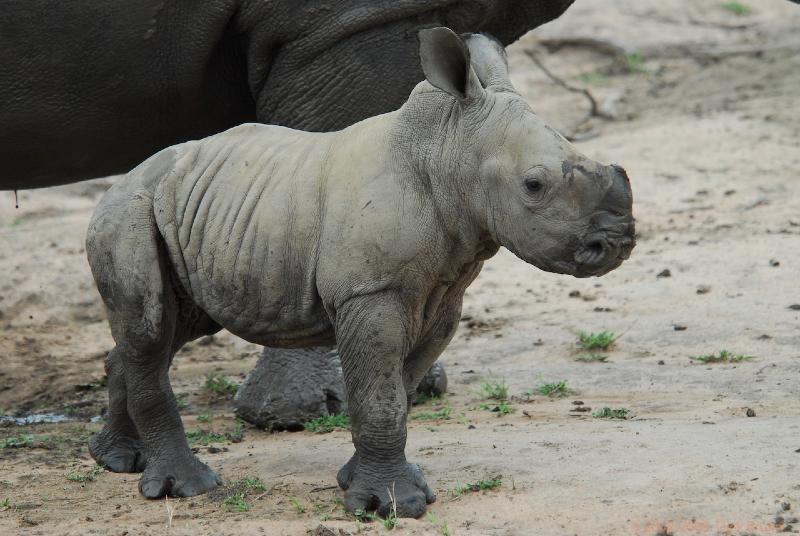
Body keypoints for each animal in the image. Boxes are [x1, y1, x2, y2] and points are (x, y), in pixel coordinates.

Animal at [87, 27, 636, 516]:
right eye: (534, 185)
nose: (616, 244)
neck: (447, 150)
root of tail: (119, 183)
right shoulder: (371, 292)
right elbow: (380, 397)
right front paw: (393, 505)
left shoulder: (442, 295)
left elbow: (401, 387)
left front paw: (359, 482)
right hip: (127, 214)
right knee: (151, 329)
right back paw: (187, 487)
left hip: (194, 214)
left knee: (171, 326)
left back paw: (119, 462)